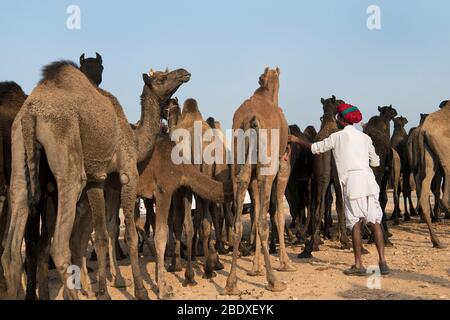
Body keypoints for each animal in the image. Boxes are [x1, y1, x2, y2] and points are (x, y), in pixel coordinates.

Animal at [224, 66, 296, 296]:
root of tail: (250, 120)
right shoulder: (282, 166)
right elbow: (278, 214)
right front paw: (285, 263)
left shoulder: (253, 176)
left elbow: (255, 216)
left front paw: (255, 268)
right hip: (268, 167)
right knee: (265, 220)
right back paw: (274, 282)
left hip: (238, 165)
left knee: (241, 220)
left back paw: (231, 284)